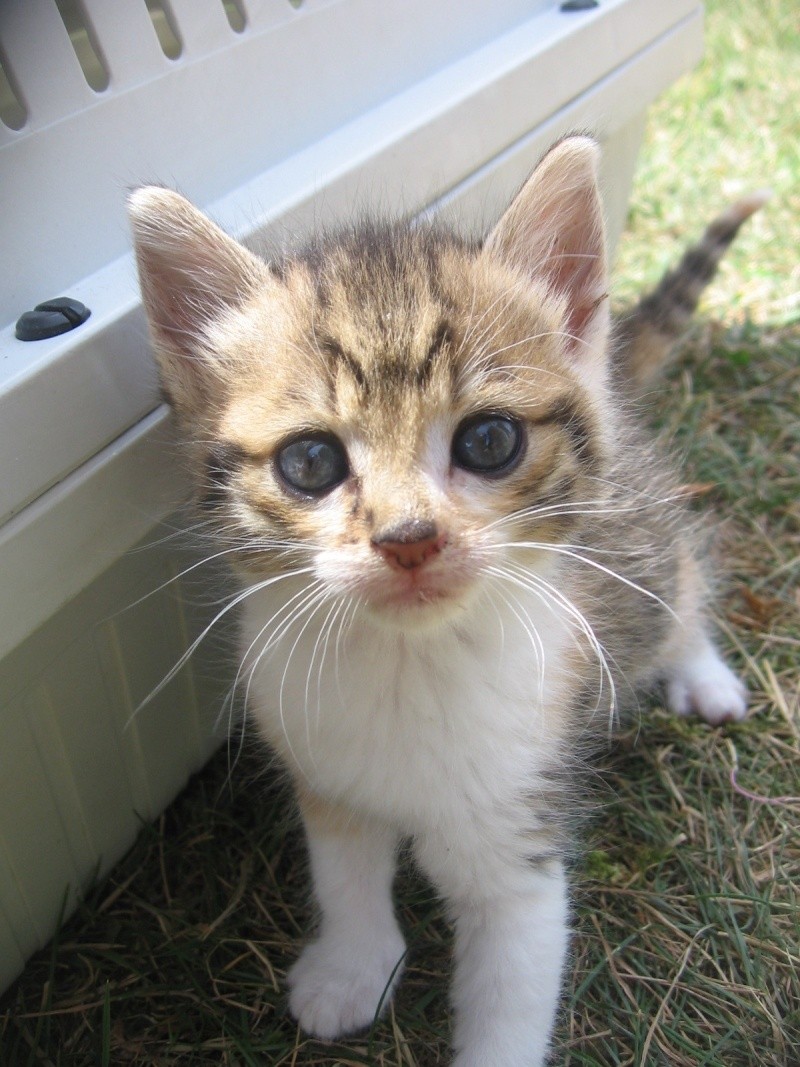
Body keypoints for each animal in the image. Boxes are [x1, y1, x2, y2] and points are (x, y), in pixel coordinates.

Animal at [130, 135, 759, 1067]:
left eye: (489, 440)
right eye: (309, 462)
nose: (408, 537)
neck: (407, 662)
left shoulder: (520, 824)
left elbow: (511, 980)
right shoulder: (324, 769)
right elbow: (344, 872)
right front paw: (352, 964)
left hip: (643, 532)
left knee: (677, 584)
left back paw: (704, 674)